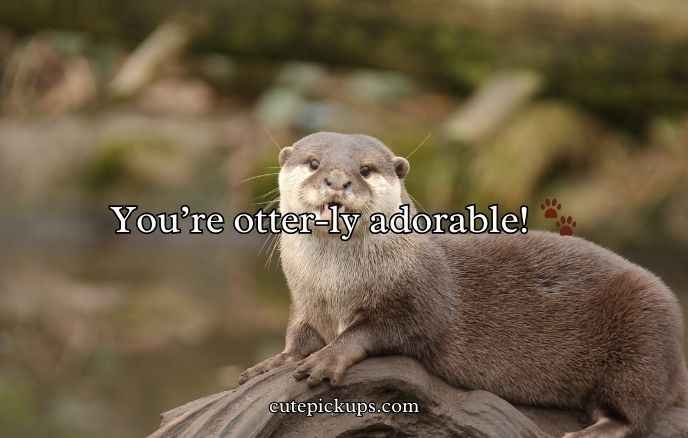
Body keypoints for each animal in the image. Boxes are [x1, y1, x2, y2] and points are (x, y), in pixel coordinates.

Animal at [239, 132, 688, 437]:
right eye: (313, 162)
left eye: (365, 169)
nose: (337, 180)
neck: (334, 288)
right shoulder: (304, 300)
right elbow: (297, 332)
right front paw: (273, 362)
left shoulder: (421, 298)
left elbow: (380, 330)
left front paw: (329, 357)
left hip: (643, 333)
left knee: (636, 410)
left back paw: (595, 429)